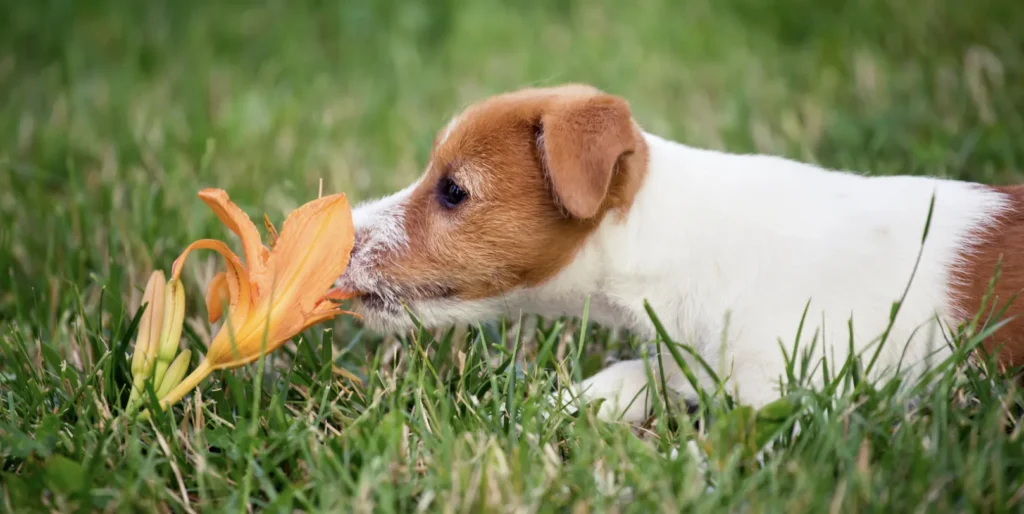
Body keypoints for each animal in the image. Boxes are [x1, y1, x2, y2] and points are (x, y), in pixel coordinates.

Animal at [333, 84, 1024, 421]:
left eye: (453, 190)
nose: (343, 237)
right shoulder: (691, 357)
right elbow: (639, 372)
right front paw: (553, 408)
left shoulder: (799, 386)